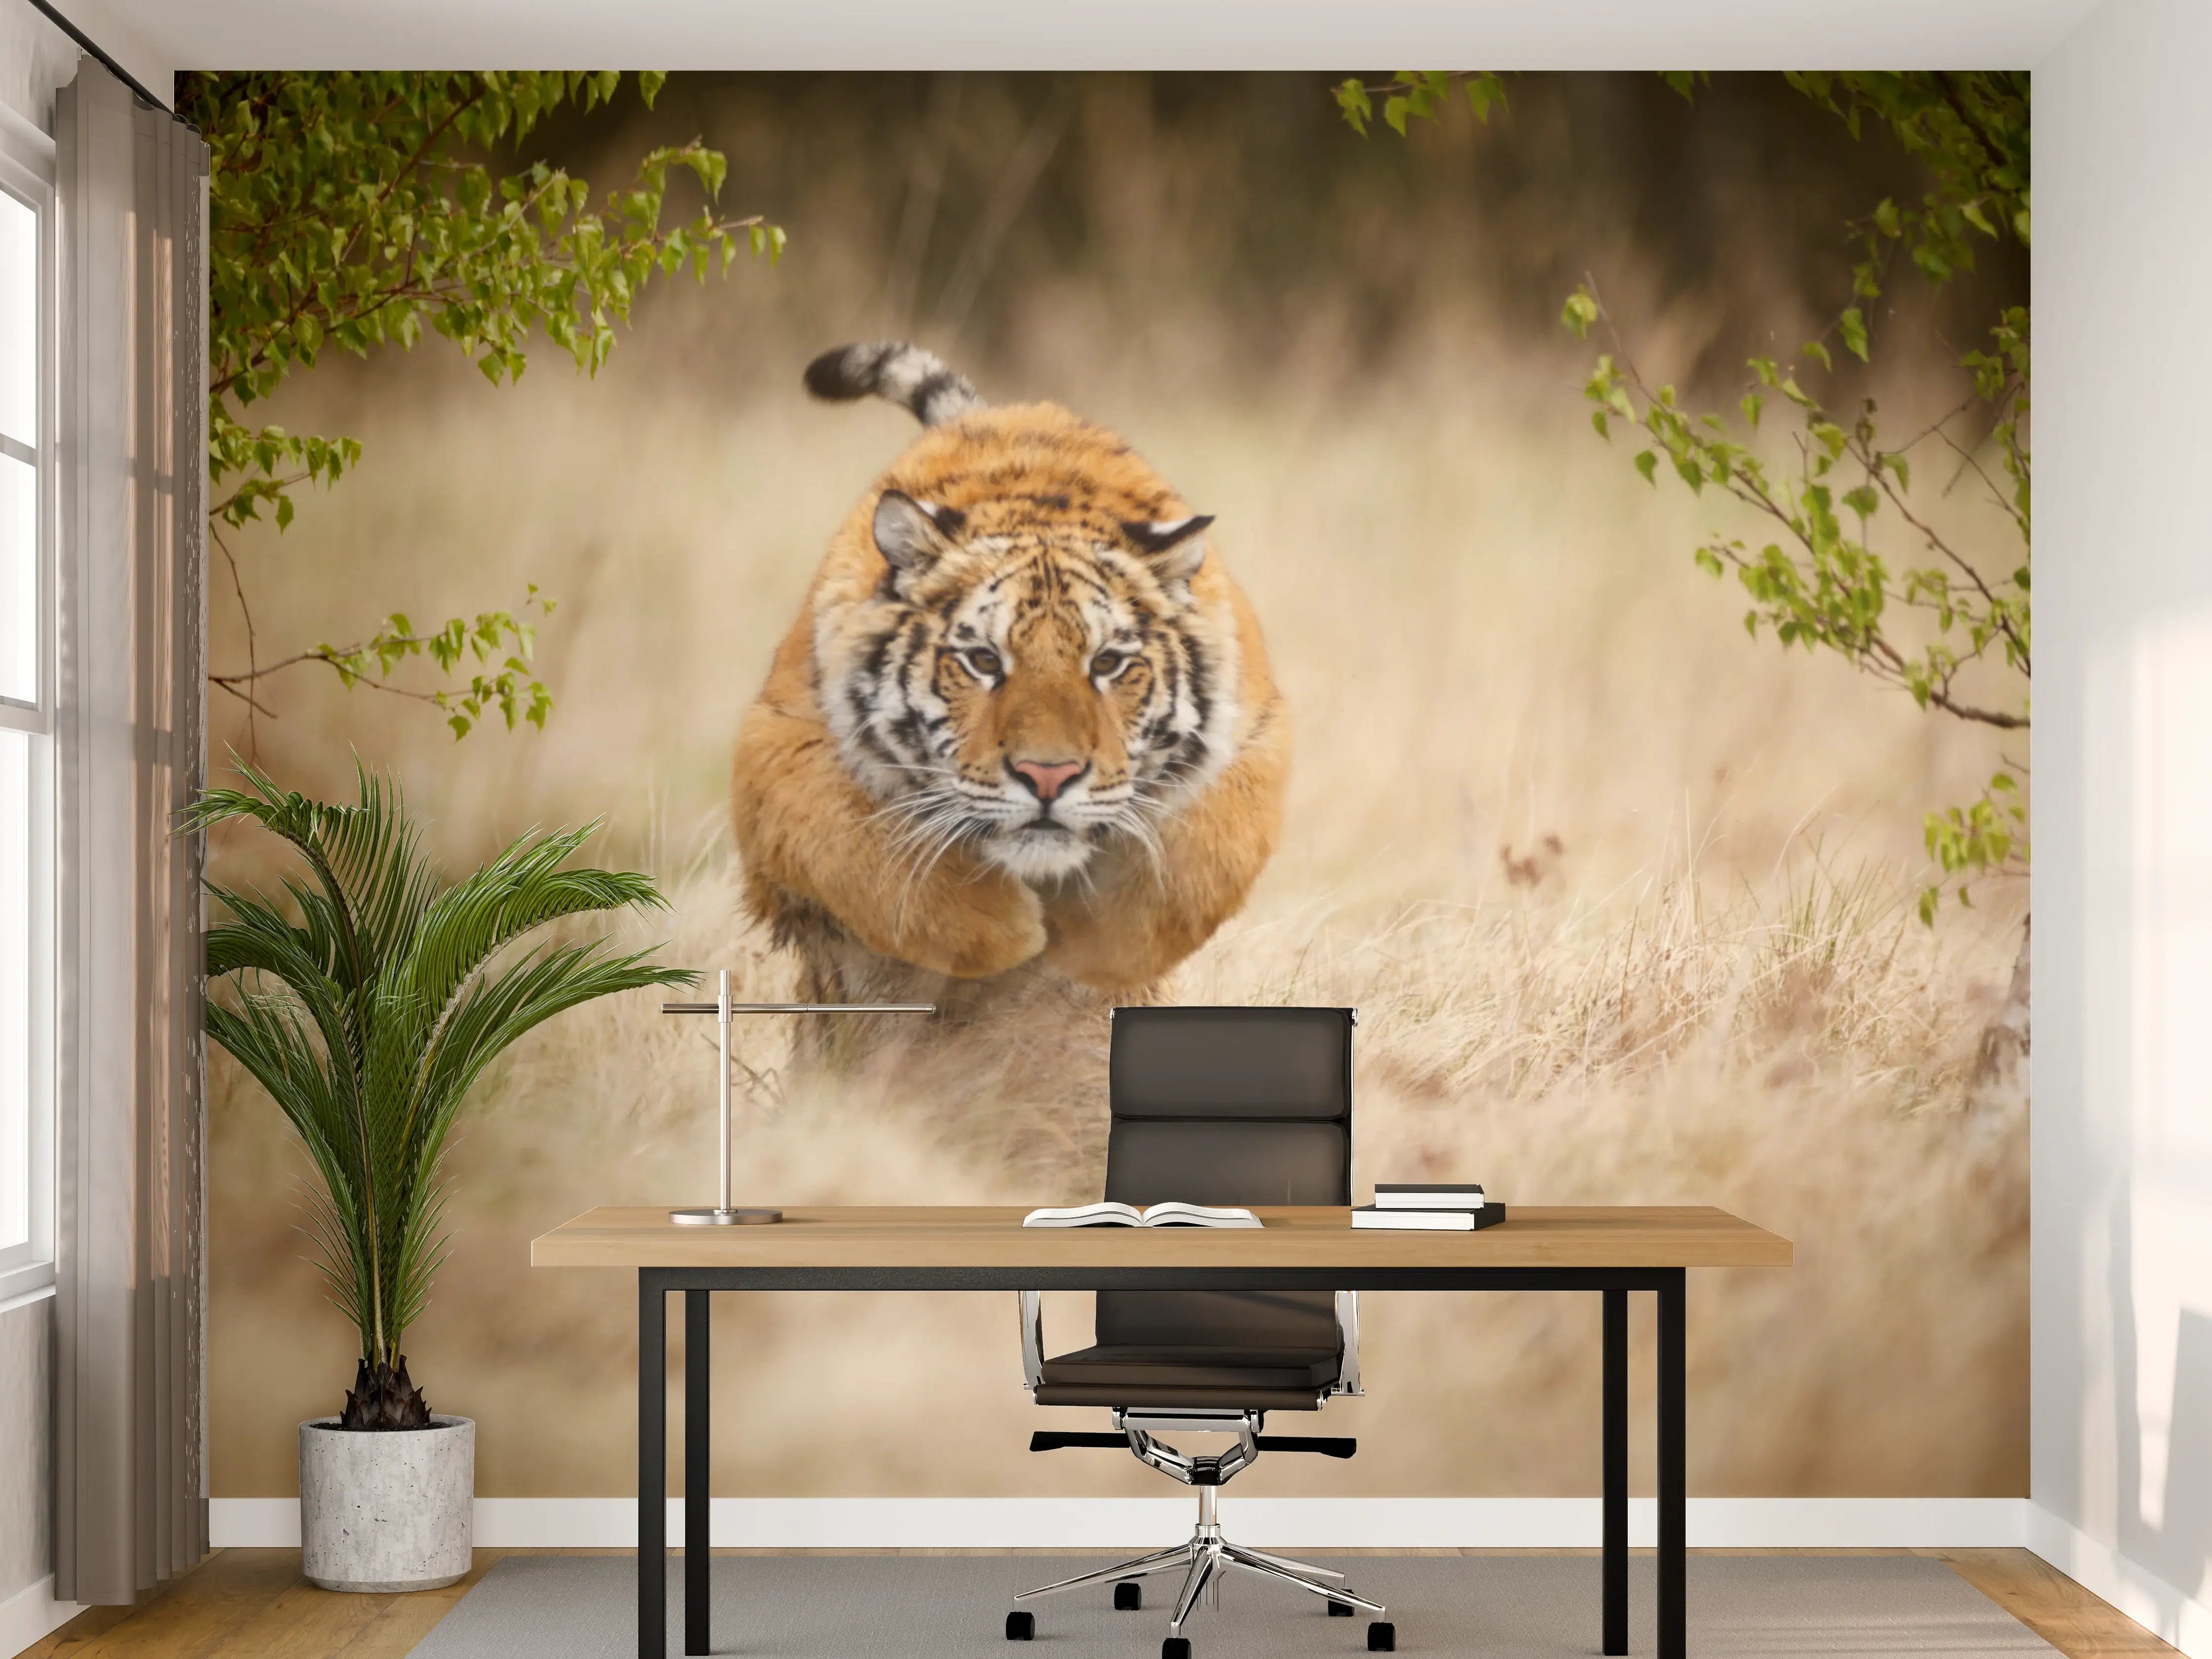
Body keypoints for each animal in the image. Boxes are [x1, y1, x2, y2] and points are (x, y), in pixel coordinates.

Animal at [730, 342, 1289, 1004]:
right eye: (983, 661)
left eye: (1107, 663)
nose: (1048, 778)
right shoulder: (782, 741)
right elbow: (861, 853)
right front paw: (1007, 933)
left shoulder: (1254, 737)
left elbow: (1201, 862)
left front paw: (1095, 949)